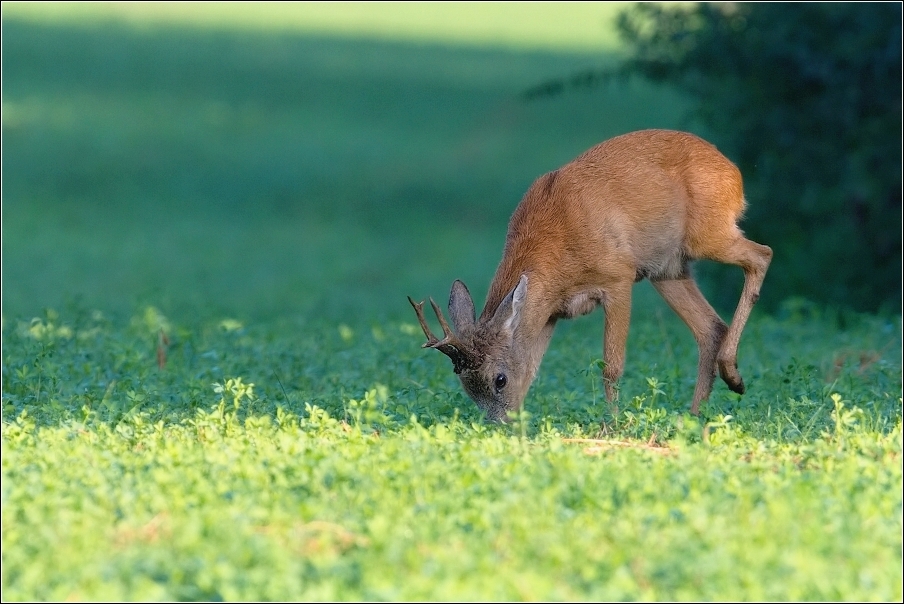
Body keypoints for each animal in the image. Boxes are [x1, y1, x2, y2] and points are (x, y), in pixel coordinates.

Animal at [410, 129, 768, 420]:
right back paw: (695, 417)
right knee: (710, 328)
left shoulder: (619, 276)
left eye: (499, 379)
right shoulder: (551, 311)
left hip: (707, 234)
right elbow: (533, 369)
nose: (500, 425)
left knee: (762, 255)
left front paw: (612, 426)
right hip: (668, 269)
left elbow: (611, 366)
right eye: (466, 387)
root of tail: (734, 172)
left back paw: (732, 377)